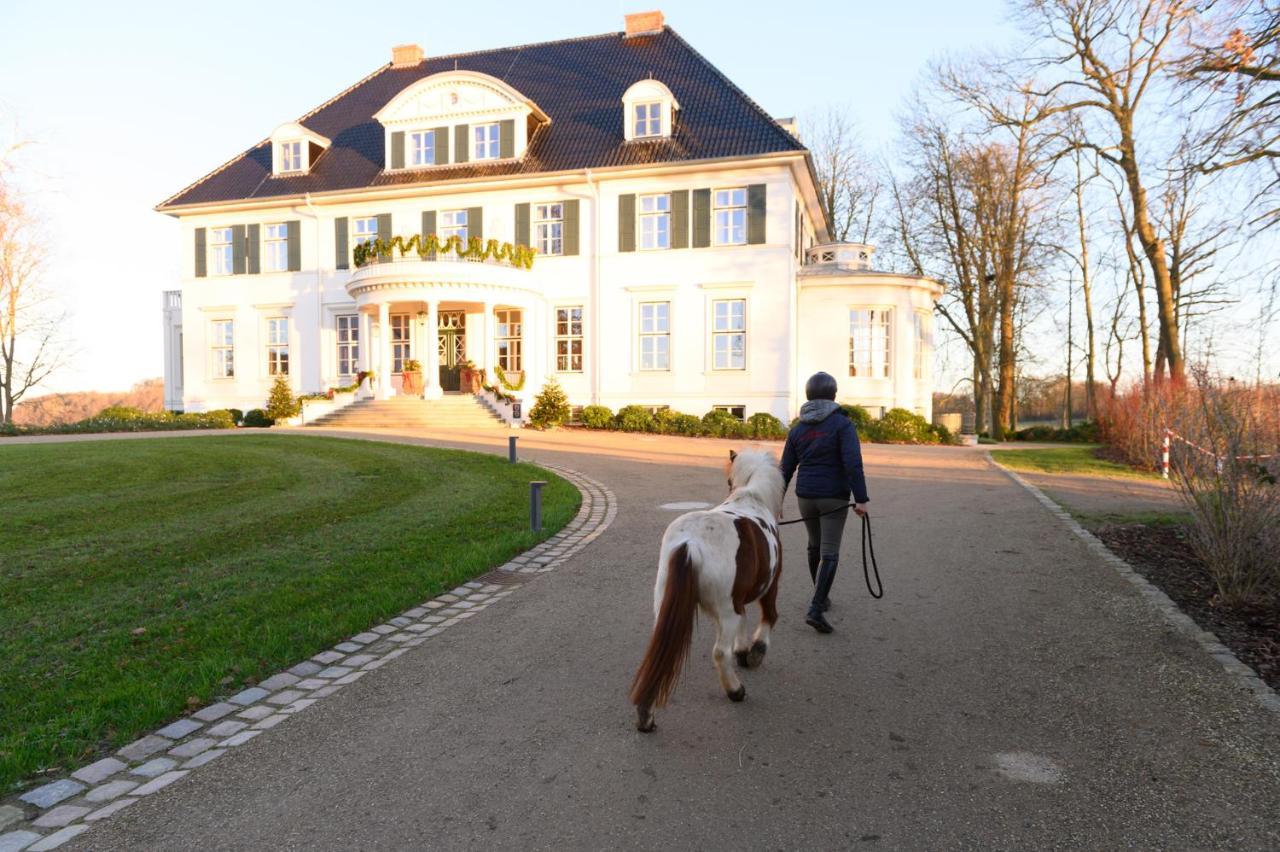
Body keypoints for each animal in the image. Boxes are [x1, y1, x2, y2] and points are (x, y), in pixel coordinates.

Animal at [627, 445, 778, 731]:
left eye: (728, 481)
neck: (750, 499)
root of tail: (690, 543)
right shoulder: (769, 586)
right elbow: (769, 617)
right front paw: (755, 652)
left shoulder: (737, 602)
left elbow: (744, 622)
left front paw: (743, 651)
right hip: (727, 610)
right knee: (719, 653)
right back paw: (735, 691)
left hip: (667, 606)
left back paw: (645, 714)